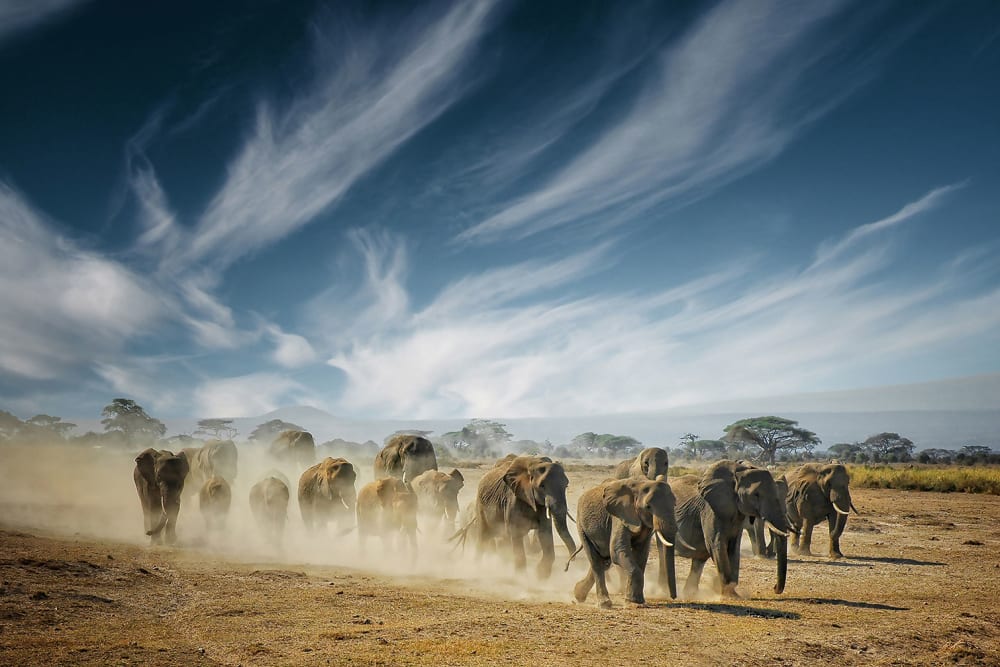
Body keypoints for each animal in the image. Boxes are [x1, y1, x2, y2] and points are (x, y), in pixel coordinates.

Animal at [572, 476, 678, 608]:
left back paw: (578, 594)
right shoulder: (619, 515)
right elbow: (617, 550)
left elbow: (642, 553)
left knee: (604, 561)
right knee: (596, 561)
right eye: (648, 507)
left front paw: (636, 601)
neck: (641, 484)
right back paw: (604, 604)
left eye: (675, 504)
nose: (673, 597)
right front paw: (634, 603)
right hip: (581, 526)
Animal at [670, 460, 789, 598]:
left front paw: (733, 592)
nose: (774, 588)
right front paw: (730, 595)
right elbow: (716, 543)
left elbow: (733, 546)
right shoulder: (710, 510)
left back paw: (690, 594)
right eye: (756, 495)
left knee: (700, 558)